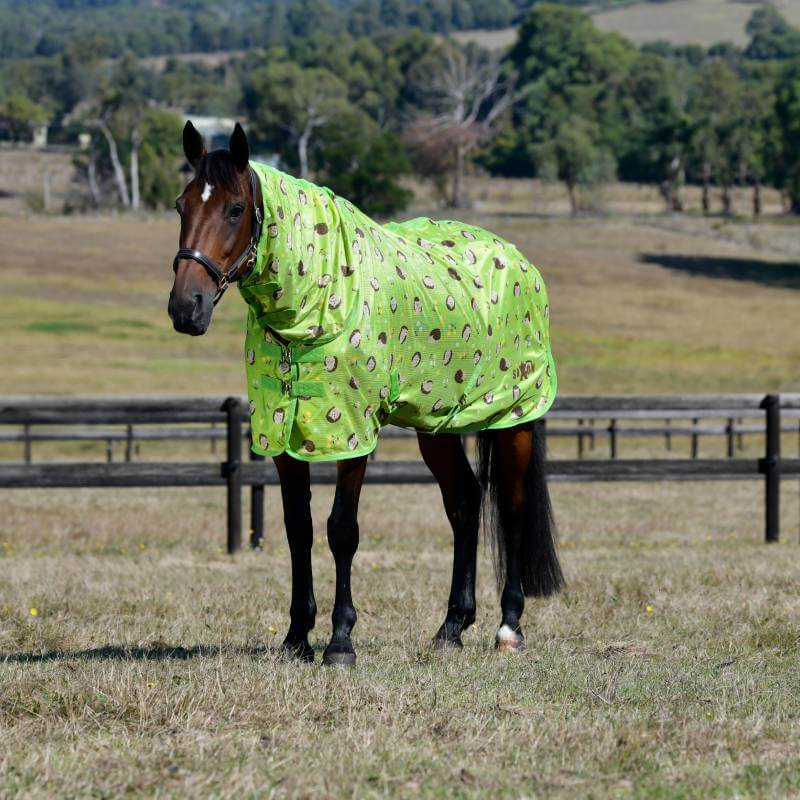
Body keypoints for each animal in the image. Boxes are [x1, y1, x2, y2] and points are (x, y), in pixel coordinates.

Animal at [168, 121, 563, 666]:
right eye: (181, 206)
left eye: (234, 208)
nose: (187, 307)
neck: (318, 296)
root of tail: (518, 260)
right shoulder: (281, 432)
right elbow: (298, 528)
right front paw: (296, 637)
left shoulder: (351, 432)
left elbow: (342, 530)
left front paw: (340, 641)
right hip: (437, 424)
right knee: (465, 502)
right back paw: (451, 627)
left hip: (514, 418)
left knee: (514, 507)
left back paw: (508, 627)